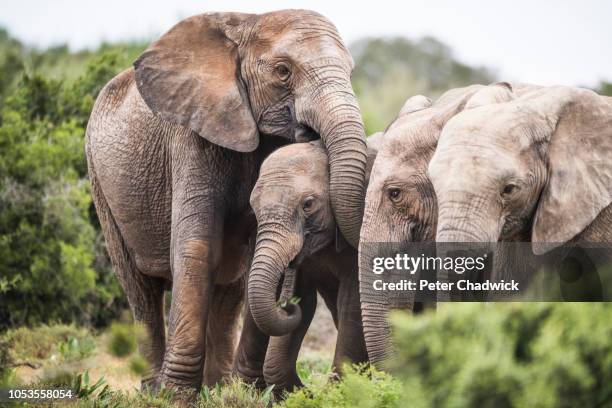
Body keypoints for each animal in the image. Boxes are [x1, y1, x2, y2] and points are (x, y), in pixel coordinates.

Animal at [247, 139, 372, 392]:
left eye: (308, 204)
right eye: (253, 207)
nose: (285, 304)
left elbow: (352, 304)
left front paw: (336, 393)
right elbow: (306, 302)